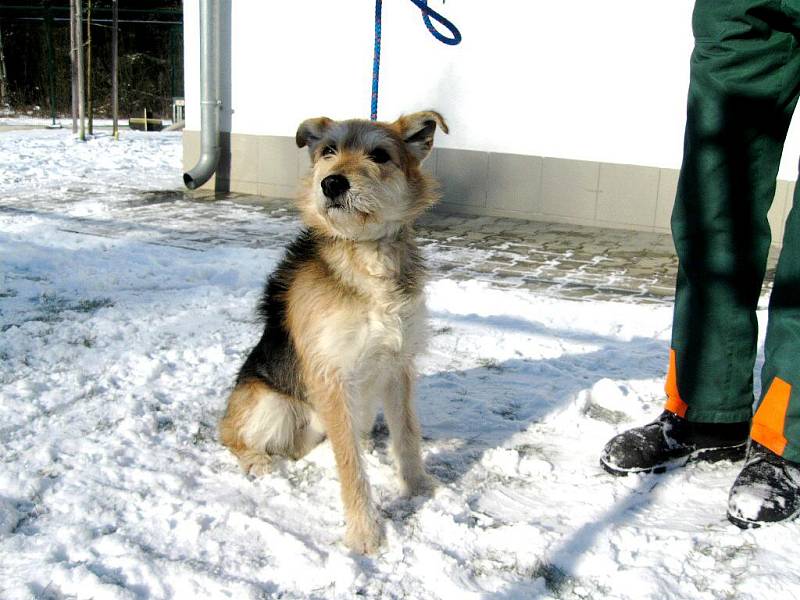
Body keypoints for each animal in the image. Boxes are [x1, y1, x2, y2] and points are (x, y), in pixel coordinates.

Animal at [222, 109, 446, 552]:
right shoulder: (332, 376)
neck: (366, 254)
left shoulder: (398, 365)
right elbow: (351, 466)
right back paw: (256, 459)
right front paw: (365, 533)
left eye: (379, 155)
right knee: (229, 435)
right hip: (271, 404)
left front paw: (417, 487)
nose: (332, 183)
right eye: (328, 151)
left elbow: (408, 435)